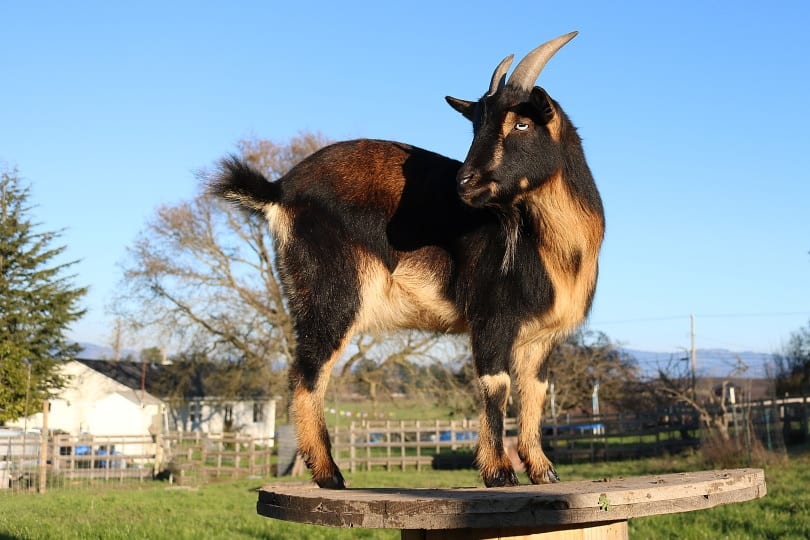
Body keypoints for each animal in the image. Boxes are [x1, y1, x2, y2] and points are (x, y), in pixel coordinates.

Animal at [210, 31, 604, 488]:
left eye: (521, 123)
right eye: (477, 125)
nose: (463, 183)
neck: (553, 247)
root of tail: (279, 190)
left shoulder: (542, 338)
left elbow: (534, 393)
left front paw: (542, 470)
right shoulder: (492, 316)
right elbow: (496, 385)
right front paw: (499, 473)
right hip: (332, 291)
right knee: (307, 373)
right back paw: (330, 474)